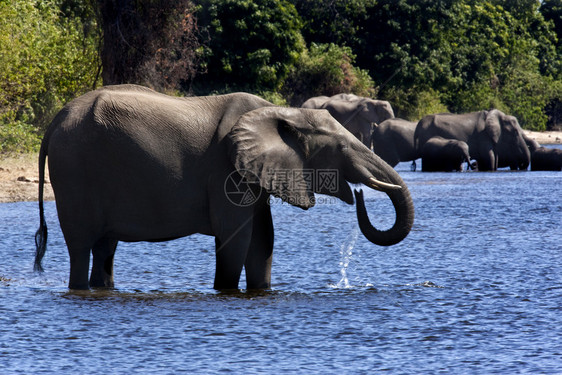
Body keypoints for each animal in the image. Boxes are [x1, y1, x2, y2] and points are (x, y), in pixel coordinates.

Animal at [34, 84, 412, 290]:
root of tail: (56, 120)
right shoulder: (225, 173)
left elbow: (263, 241)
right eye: (341, 147)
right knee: (81, 247)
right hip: (75, 170)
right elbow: (236, 240)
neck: (282, 112)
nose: (360, 193)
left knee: (105, 249)